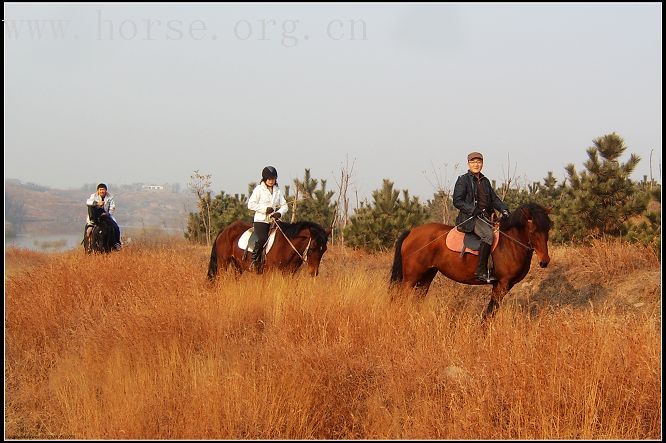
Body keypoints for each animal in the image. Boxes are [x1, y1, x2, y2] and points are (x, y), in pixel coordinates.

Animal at [390, 203, 548, 320]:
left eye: (547, 229)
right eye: (533, 231)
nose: (545, 261)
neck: (509, 243)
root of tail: (411, 232)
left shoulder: (504, 285)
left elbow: (491, 311)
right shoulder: (502, 283)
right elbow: (491, 311)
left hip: (427, 275)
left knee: (418, 298)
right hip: (411, 278)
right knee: (400, 298)